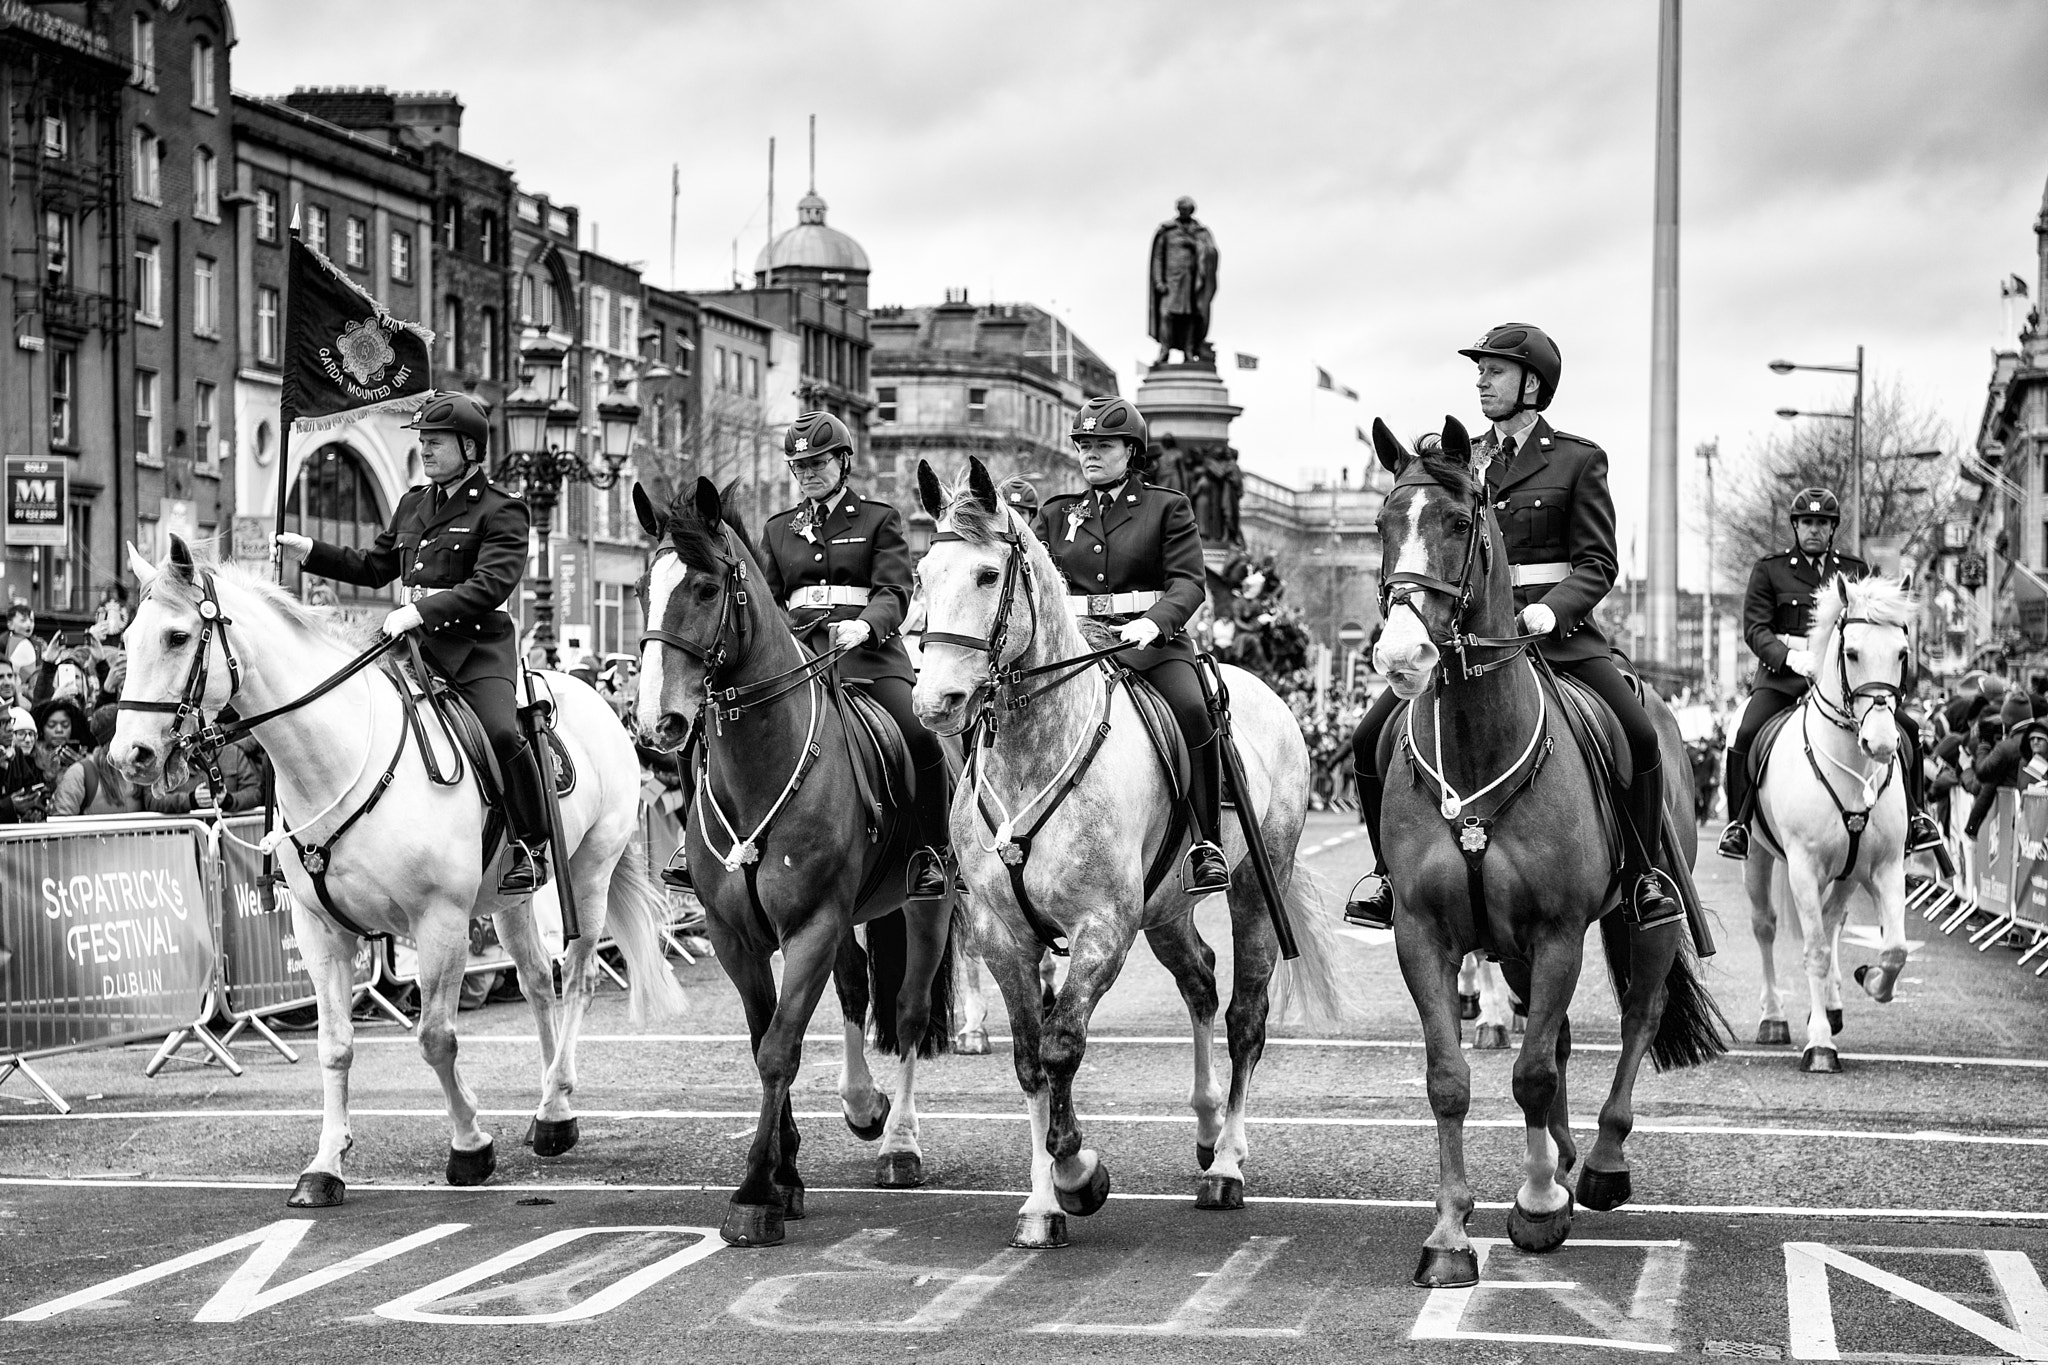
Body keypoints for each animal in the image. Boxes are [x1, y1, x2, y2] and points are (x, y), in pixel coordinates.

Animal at [112, 544, 688, 1203]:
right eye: (127, 638)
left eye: (178, 636)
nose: (129, 756)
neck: (335, 760)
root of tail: (597, 700)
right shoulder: (320, 930)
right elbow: (335, 1047)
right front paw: (325, 1165)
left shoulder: (439, 921)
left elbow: (436, 1038)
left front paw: (470, 1145)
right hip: (513, 897)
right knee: (539, 981)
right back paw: (550, 1106)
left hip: (589, 871)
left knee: (579, 980)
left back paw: (554, 1107)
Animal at [630, 482, 958, 1252]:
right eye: (639, 589)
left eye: (706, 586)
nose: (657, 724)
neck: (763, 765)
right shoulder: (736, 935)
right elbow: (764, 1039)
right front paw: (786, 1175)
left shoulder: (810, 924)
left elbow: (780, 1048)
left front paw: (755, 1193)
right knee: (855, 990)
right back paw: (862, 1104)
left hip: (924, 902)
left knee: (907, 1009)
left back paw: (898, 1142)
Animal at [913, 462, 1343, 1252]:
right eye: (923, 573)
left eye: (989, 573)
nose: (937, 701)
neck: (1033, 750)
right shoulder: (1002, 933)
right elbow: (1032, 1059)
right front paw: (1042, 1203)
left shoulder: (1102, 929)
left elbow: (1062, 1044)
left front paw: (1078, 1172)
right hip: (1166, 907)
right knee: (1200, 980)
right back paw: (1206, 1125)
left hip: (1253, 888)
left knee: (1245, 1015)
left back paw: (1227, 1161)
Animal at [1368, 421, 1720, 1285]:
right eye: (1381, 524)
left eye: (1460, 522)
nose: (1401, 657)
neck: (1475, 741)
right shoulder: (1424, 933)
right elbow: (1451, 1078)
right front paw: (1451, 1232)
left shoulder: (1559, 931)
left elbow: (1529, 1072)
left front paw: (1533, 1208)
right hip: (1519, 947)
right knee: (1552, 1036)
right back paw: (1559, 1158)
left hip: (1643, 919)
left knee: (1637, 1014)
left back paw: (1600, 1162)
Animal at [1744, 573, 1916, 1072]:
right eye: (1852, 652)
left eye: (1902, 652)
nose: (1881, 743)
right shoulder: (1803, 866)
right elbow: (1815, 950)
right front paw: (1819, 1044)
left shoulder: (1885, 868)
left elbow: (1894, 948)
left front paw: (1871, 979)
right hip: (1757, 856)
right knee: (1766, 925)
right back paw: (1774, 1017)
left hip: (1848, 873)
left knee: (1834, 919)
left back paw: (1835, 1004)